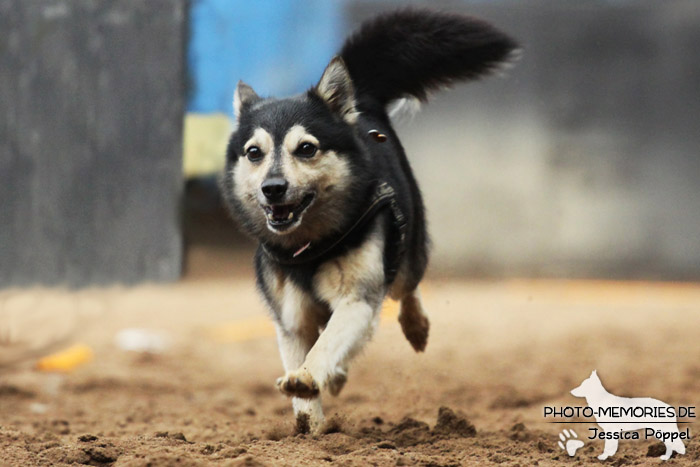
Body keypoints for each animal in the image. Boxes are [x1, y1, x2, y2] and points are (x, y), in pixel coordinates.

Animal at [221, 9, 516, 434]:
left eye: (306, 148)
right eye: (254, 153)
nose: (273, 189)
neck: (309, 247)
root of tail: (361, 98)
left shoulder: (358, 298)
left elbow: (327, 344)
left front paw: (309, 377)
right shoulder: (291, 319)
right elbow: (304, 361)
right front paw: (309, 419)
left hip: (407, 244)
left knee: (407, 284)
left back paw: (415, 327)